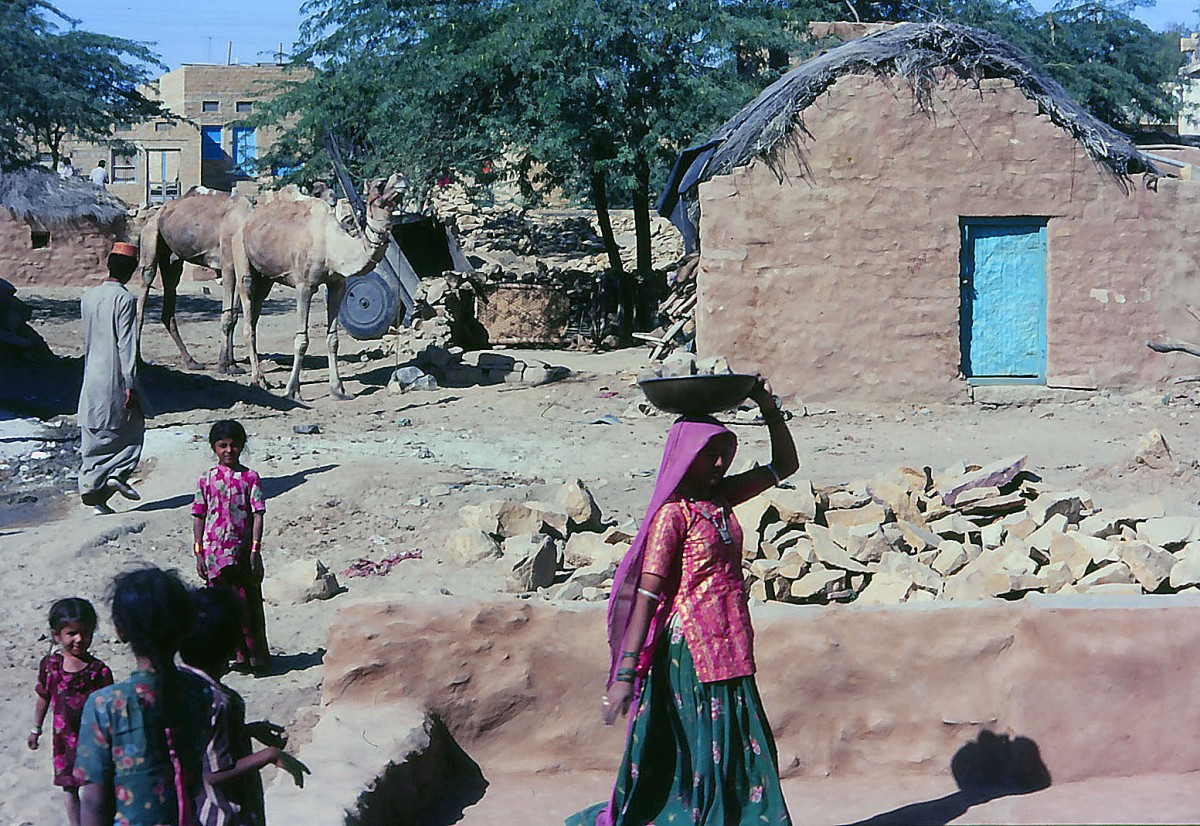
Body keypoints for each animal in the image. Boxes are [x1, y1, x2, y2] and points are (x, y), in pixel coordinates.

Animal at [136, 190, 253, 372]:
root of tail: (156, 214)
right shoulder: (228, 264)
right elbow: (228, 317)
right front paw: (223, 365)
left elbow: (233, 316)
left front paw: (232, 365)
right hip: (150, 239)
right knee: (145, 282)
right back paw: (139, 360)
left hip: (172, 259)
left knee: (168, 301)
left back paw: (191, 362)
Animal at [229, 172, 408, 400]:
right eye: (380, 184)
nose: (401, 177)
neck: (332, 246)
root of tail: (247, 223)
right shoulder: (304, 285)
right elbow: (302, 341)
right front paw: (292, 390)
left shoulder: (338, 285)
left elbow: (333, 340)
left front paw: (338, 389)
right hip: (241, 257)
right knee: (247, 314)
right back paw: (258, 379)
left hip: (265, 278)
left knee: (255, 314)